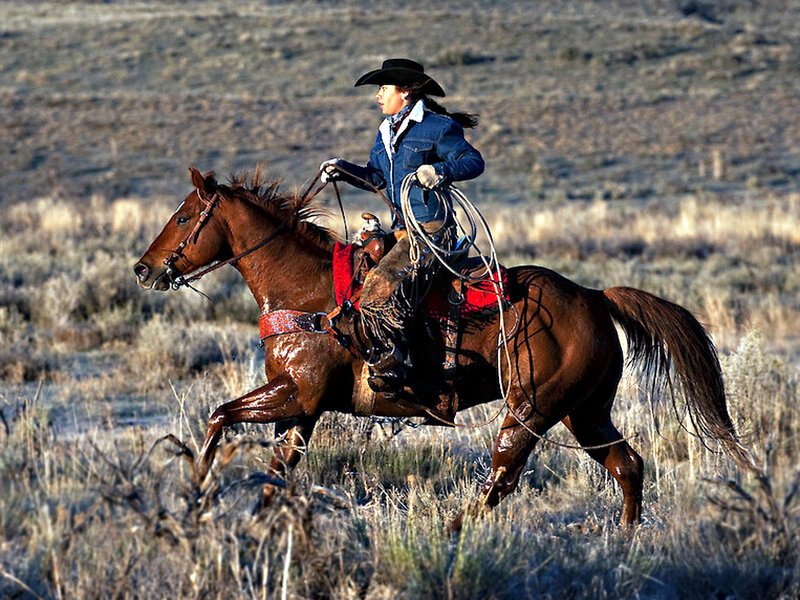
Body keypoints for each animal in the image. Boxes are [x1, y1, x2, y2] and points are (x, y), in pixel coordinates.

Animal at [133, 167, 754, 529]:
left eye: (184, 217)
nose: (143, 269)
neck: (306, 292)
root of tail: (595, 298)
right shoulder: (301, 409)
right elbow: (275, 471)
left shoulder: (295, 395)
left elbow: (218, 416)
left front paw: (198, 492)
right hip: (585, 411)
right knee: (627, 465)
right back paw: (624, 540)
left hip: (531, 408)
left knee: (502, 476)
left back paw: (452, 530)